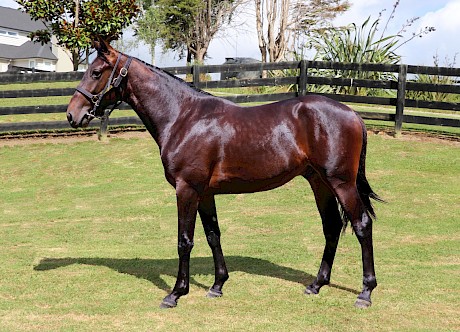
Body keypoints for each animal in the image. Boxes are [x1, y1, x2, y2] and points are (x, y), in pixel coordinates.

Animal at [64, 39, 380, 308]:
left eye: (95, 72)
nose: (71, 115)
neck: (183, 117)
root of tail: (353, 114)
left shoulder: (187, 189)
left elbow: (185, 240)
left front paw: (176, 293)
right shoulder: (204, 193)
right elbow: (213, 235)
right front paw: (217, 286)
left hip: (341, 183)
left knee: (362, 225)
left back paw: (365, 292)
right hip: (319, 182)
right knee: (331, 227)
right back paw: (316, 284)